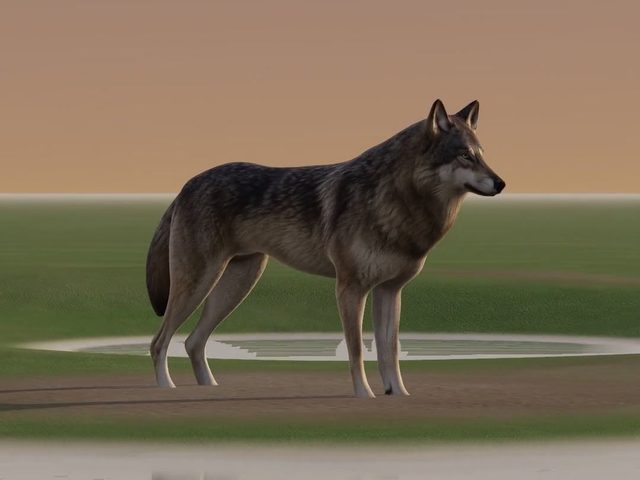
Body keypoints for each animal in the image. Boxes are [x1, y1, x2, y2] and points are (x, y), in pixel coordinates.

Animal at [146, 99, 505, 398]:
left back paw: (209, 387)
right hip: (199, 285)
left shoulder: (390, 291)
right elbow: (357, 350)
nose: (501, 183)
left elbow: (389, 351)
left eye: (482, 154)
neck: (398, 202)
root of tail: (187, 184)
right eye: (465, 155)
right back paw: (166, 387)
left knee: (192, 342)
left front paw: (398, 394)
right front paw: (365, 395)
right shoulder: (350, 289)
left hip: (236, 286)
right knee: (159, 342)